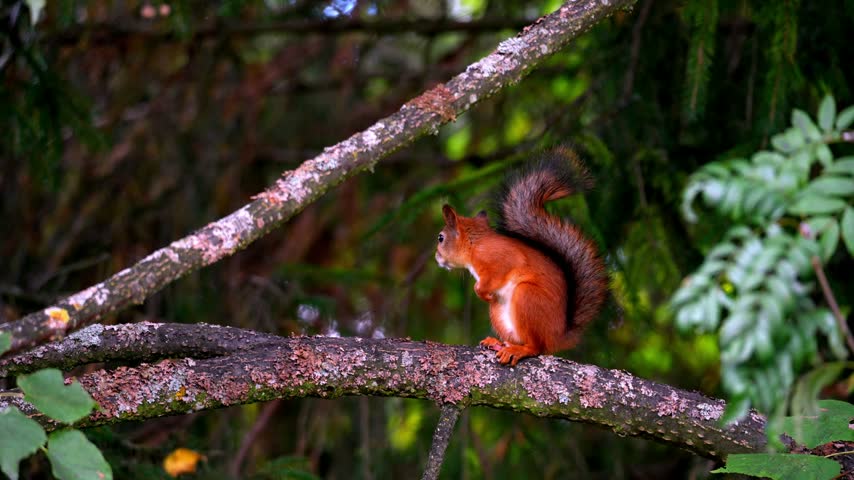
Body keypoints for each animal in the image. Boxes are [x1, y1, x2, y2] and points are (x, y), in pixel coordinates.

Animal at [435, 147, 608, 366]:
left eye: (441, 238)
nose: (436, 258)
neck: (475, 245)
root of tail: (557, 337)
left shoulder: (500, 258)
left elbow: (494, 275)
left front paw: (481, 292)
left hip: (527, 297)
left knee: (536, 347)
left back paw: (520, 350)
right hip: (498, 312)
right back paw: (499, 343)